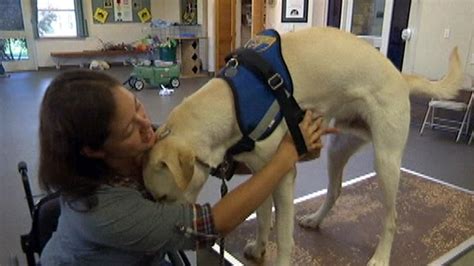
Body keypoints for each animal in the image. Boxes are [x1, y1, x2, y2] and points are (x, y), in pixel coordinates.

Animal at [144, 27, 462, 266]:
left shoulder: (284, 176)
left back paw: (381, 256)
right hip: (337, 149)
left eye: (162, 196)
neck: (232, 102)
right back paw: (315, 219)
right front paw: (259, 248)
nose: (170, 242)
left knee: (391, 218)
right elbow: (262, 218)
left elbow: (284, 237)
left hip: (386, 162)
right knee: (335, 190)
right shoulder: (262, 172)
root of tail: (401, 76)